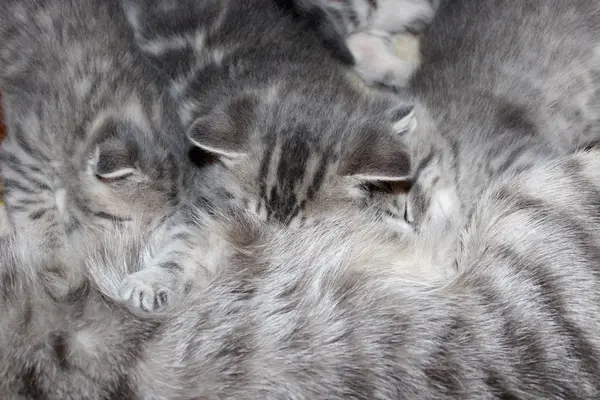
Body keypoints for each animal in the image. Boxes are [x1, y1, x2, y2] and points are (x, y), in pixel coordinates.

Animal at [117, 0, 424, 310]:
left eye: (308, 232)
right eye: (253, 217)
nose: (271, 251)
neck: (289, 80)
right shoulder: (209, 190)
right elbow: (187, 237)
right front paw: (152, 280)